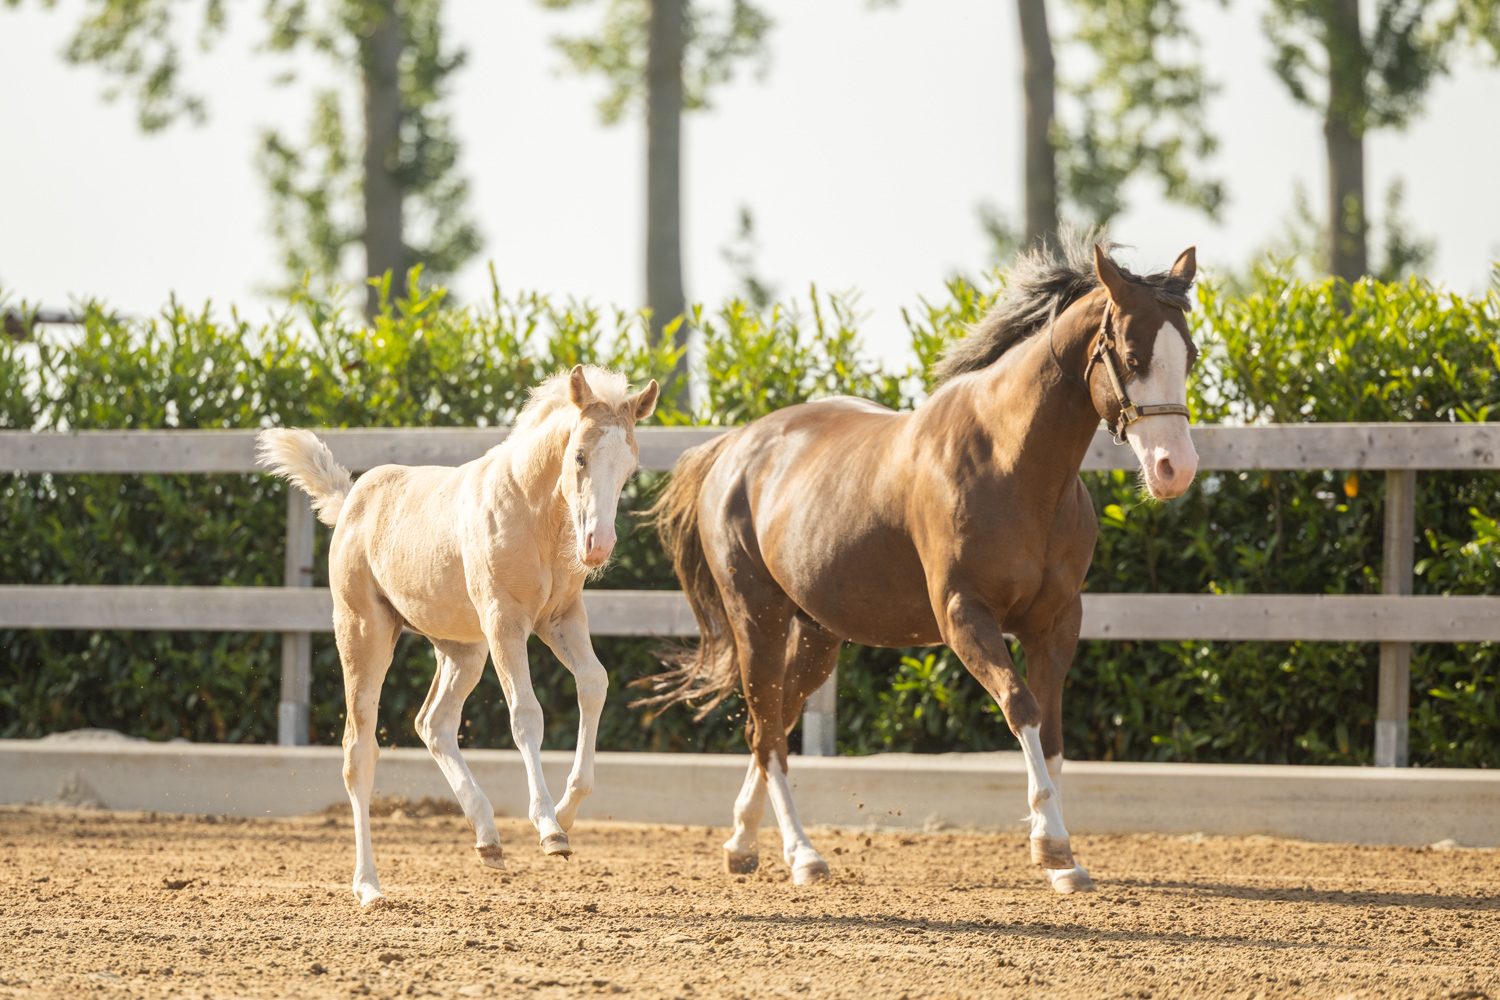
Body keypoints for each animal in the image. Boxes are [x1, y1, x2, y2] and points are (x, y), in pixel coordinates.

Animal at [257, 365, 659, 908]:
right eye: (579, 456)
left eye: (630, 467)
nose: (598, 547)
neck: (534, 515)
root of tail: (351, 502)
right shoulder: (504, 621)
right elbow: (526, 716)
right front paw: (550, 828)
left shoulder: (561, 617)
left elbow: (595, 684)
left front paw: (568, 810)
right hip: (364, 634)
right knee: (358, 751)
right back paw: (368, 885)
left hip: (462, 650)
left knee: (434, 723)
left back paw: (487, 837)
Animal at [640, 234, 1199, 893]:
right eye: (1133, 355)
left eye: (1190, 354)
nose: (1175, 470)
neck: (1014, 467)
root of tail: (733, 447)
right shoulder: (964, 616)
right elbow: (1022, 707)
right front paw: (1054, 847)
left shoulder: (1058, 622)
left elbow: (1055, 729)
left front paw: (1061, 860)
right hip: (758, 618)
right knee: (770, 730)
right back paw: (803, 855)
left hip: (817, 636)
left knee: (766, 721)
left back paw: (741, 845)